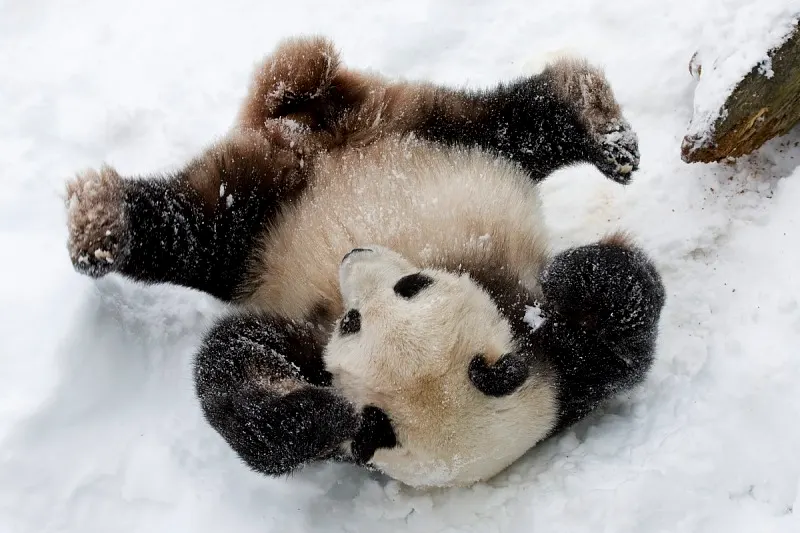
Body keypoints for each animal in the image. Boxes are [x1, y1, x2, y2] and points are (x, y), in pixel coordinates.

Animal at [64, 36, 665, 488]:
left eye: (356, 320)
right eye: (414, 283)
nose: (354, 254)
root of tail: (331, 137)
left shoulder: (565, 381)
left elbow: (625, 315)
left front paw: (568, 282)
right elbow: (236, 370)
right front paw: (321, 417)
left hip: (412, 138)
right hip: (329, 184)